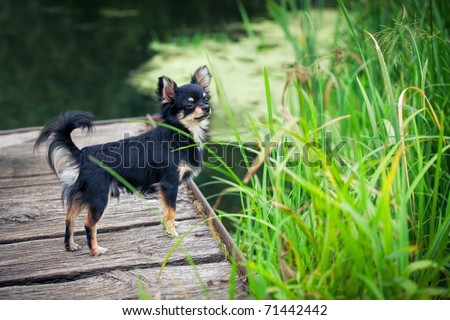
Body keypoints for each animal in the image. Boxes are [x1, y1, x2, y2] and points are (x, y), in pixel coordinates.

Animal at [34, 65, 211, 255]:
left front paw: (169, 226)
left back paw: (70, 245)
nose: (207, 107)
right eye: (190, 104)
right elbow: (171, 209)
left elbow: (166, 209)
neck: (180, 135)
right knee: (88, 224)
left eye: (206, 98)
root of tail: (83, 154)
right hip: (99, 197)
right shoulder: (169, 184)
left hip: (84, 194)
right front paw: (172, 233)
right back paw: (95, 251)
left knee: (70, 217)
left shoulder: (164, 188)